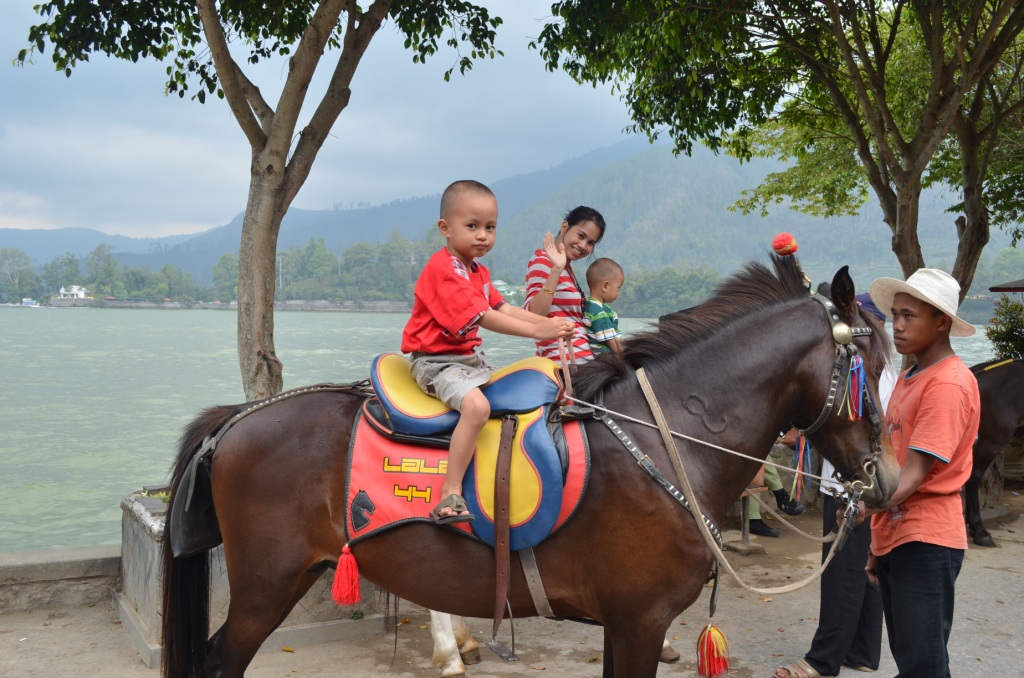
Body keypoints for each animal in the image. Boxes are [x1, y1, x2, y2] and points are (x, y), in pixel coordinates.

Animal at [157, 256, 897, 678]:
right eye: (873, 364)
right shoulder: (640, 618)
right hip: (265, 584)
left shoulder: (628, 623)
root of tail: (236, 418)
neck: (666, 439)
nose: (886, 478)